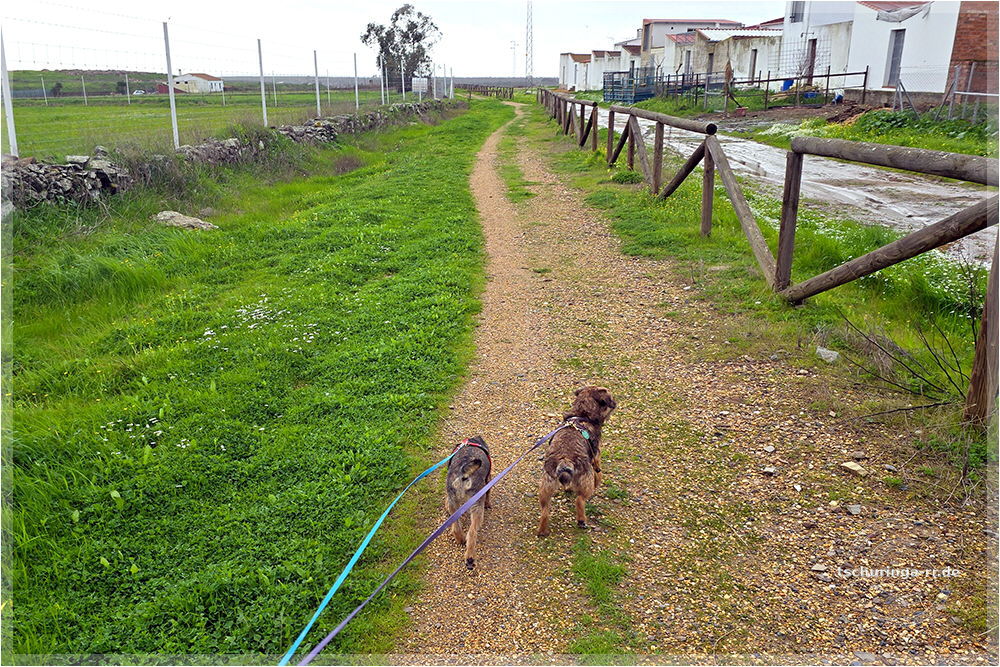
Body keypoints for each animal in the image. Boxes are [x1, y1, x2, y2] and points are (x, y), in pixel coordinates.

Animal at [445, 436, 492, 569]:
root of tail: (464, 474)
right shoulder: (488, 480)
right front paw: (488, 504)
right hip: (477, 507)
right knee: (472, 533)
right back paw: (470, 558)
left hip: (453, 502)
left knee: (456, 527)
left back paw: (460, 539)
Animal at [537, 386, 617, 537]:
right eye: (610, 397)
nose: (615, 403)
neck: (582, 414)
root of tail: (565, 460)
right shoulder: (596, 456)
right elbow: (598, 472)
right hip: (585, 482)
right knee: (579, 500)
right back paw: (581, 520)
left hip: (546, 488)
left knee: (545, 512)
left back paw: (543, 531)